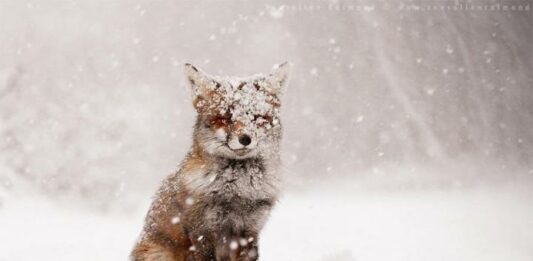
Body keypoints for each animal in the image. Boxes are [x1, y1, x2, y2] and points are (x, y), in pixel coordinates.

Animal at [132, 62, 290, 258]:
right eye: (224, 118)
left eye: (258, 118)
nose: (245, 139)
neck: (238, 191)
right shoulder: (202, 231)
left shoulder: (250, 231)